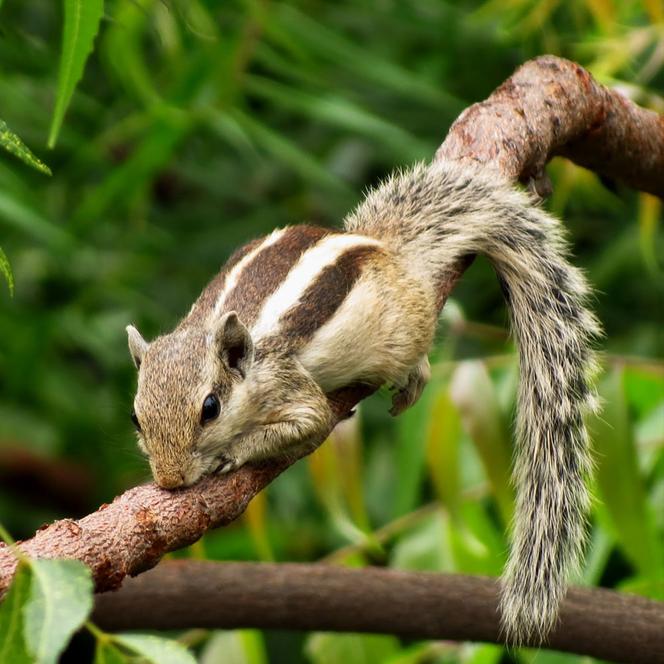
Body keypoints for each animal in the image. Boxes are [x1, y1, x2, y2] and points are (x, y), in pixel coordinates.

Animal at [126, 160, 600, 644]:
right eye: (135, 418)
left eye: (210, 409)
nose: (169, 480)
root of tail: (384, 245)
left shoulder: (288, 384)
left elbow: (311, 422)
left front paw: (232, 452)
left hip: (403, 330)